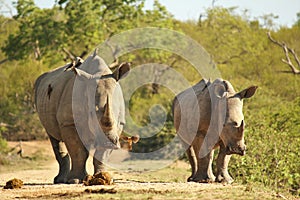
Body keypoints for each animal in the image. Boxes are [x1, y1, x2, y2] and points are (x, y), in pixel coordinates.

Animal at [34, 50, 130, 184]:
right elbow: (78, 151)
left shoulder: (118, 126)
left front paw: (103, 178)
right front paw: (75, 180)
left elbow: (101, 154)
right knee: (53, 136)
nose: (109, 142)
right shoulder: (69, 122)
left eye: (117, 114)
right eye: (91, 113)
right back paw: (61, 180)